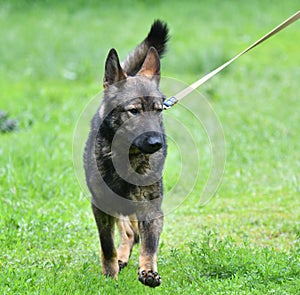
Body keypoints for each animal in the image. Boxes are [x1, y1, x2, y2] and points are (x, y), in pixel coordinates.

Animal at [84, 19, 169, 288]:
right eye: (134, 111)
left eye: (158, 110)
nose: (156, 142)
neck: (128, 157)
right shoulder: (101, 205)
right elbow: (107, 245)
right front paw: (109, 272)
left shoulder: (151, 208)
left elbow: (149, 244)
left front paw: (148, 271)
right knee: (127, 231)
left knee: (132, 232)